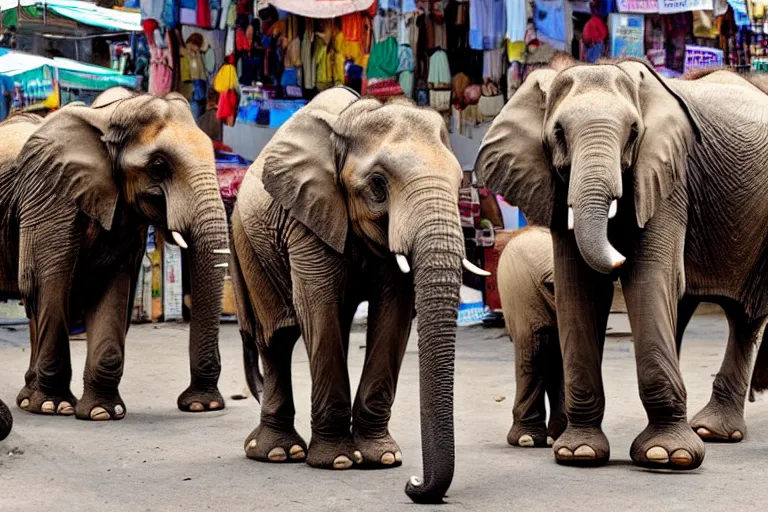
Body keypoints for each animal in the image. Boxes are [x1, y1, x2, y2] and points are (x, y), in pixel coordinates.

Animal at [0, 89, 228, 424]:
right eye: (159, 166)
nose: (200, 405)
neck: (110, 117)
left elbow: (112, 288)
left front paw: (101, 412)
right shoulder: (52, 193)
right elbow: (49, 282)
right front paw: (55, 407)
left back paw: (27, 400)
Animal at [230, 87, 486, 504]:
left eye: (457, 182)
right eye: (379, 185)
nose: (413, 483)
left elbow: (393, 311)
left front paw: (381, 458)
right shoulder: (308, 217)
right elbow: (318, 306)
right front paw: (337, 461)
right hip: (247, 241)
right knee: (278, 336)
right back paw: (278, 452)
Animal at [474, 57, 768, 472]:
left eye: (633, 132)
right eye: (558, 132)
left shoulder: (668, 175)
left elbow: (648, 272)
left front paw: (668, 456)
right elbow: (579, 285)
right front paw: (578, 452)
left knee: (745, 315)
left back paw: (711, 433)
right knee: (692, 306)